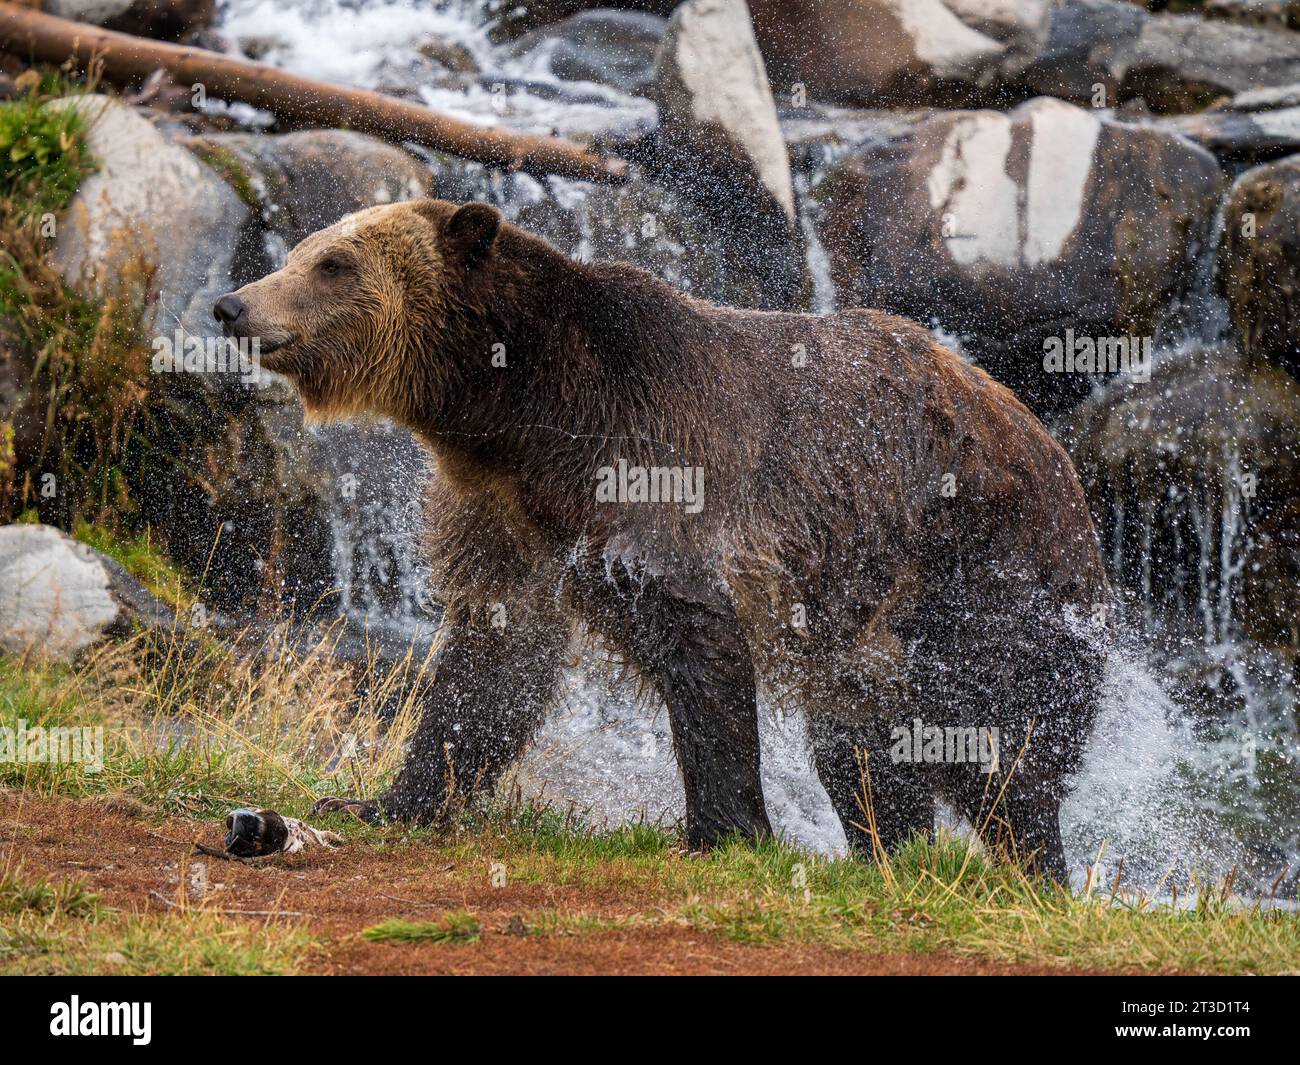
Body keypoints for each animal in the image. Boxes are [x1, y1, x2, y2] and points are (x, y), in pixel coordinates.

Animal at [218, 200, 1112, 884]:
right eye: (299, 251)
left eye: (334, 263)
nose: (233, 305)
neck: (522, 417)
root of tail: (1056, 454)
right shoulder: (503, 516)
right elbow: (492, 661)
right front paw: (381, 798)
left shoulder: (652, 469)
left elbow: (694, 644)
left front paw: (723, 830)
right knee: (861, 744)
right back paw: (889, 854)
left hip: (971, 562)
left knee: (989, 736)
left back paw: (1035, 869)